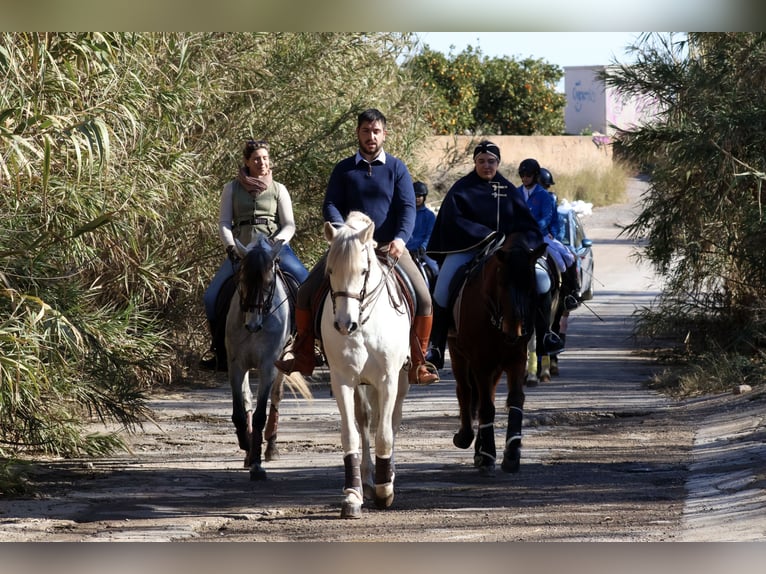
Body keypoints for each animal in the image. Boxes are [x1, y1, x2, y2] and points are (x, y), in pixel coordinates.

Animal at [226, 233, 314, 482]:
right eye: (243, 279)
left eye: (267, 283)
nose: (252, 325)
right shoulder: (236, 366)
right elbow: (239, 411)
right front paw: (247, 448)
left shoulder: (267, 367)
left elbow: (260, 415)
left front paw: (257, 464)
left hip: (282, 360)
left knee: (276, 396)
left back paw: (271, 448)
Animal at [322, 213, 414, 520]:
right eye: (329, 271)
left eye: (363, 271)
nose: (344, 324)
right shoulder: (343, 380)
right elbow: (350, 434)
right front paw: (352, 495)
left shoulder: (387, 380)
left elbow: (385, 434)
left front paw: (386, 491)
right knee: (364, 421)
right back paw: (367, 480)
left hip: (400, 381)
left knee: (392, 421)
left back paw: (387, 477)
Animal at [448, 232, 548, 474]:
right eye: (502, 283)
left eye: (531, 285)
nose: (514, 331)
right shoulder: (480, 362)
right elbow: (485, 406)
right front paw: (487, 455)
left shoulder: (515, 359)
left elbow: (515, 399)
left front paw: (512, 452)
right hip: (458, 353)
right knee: (465, 390)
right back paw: (465, 438)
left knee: (486, 393)